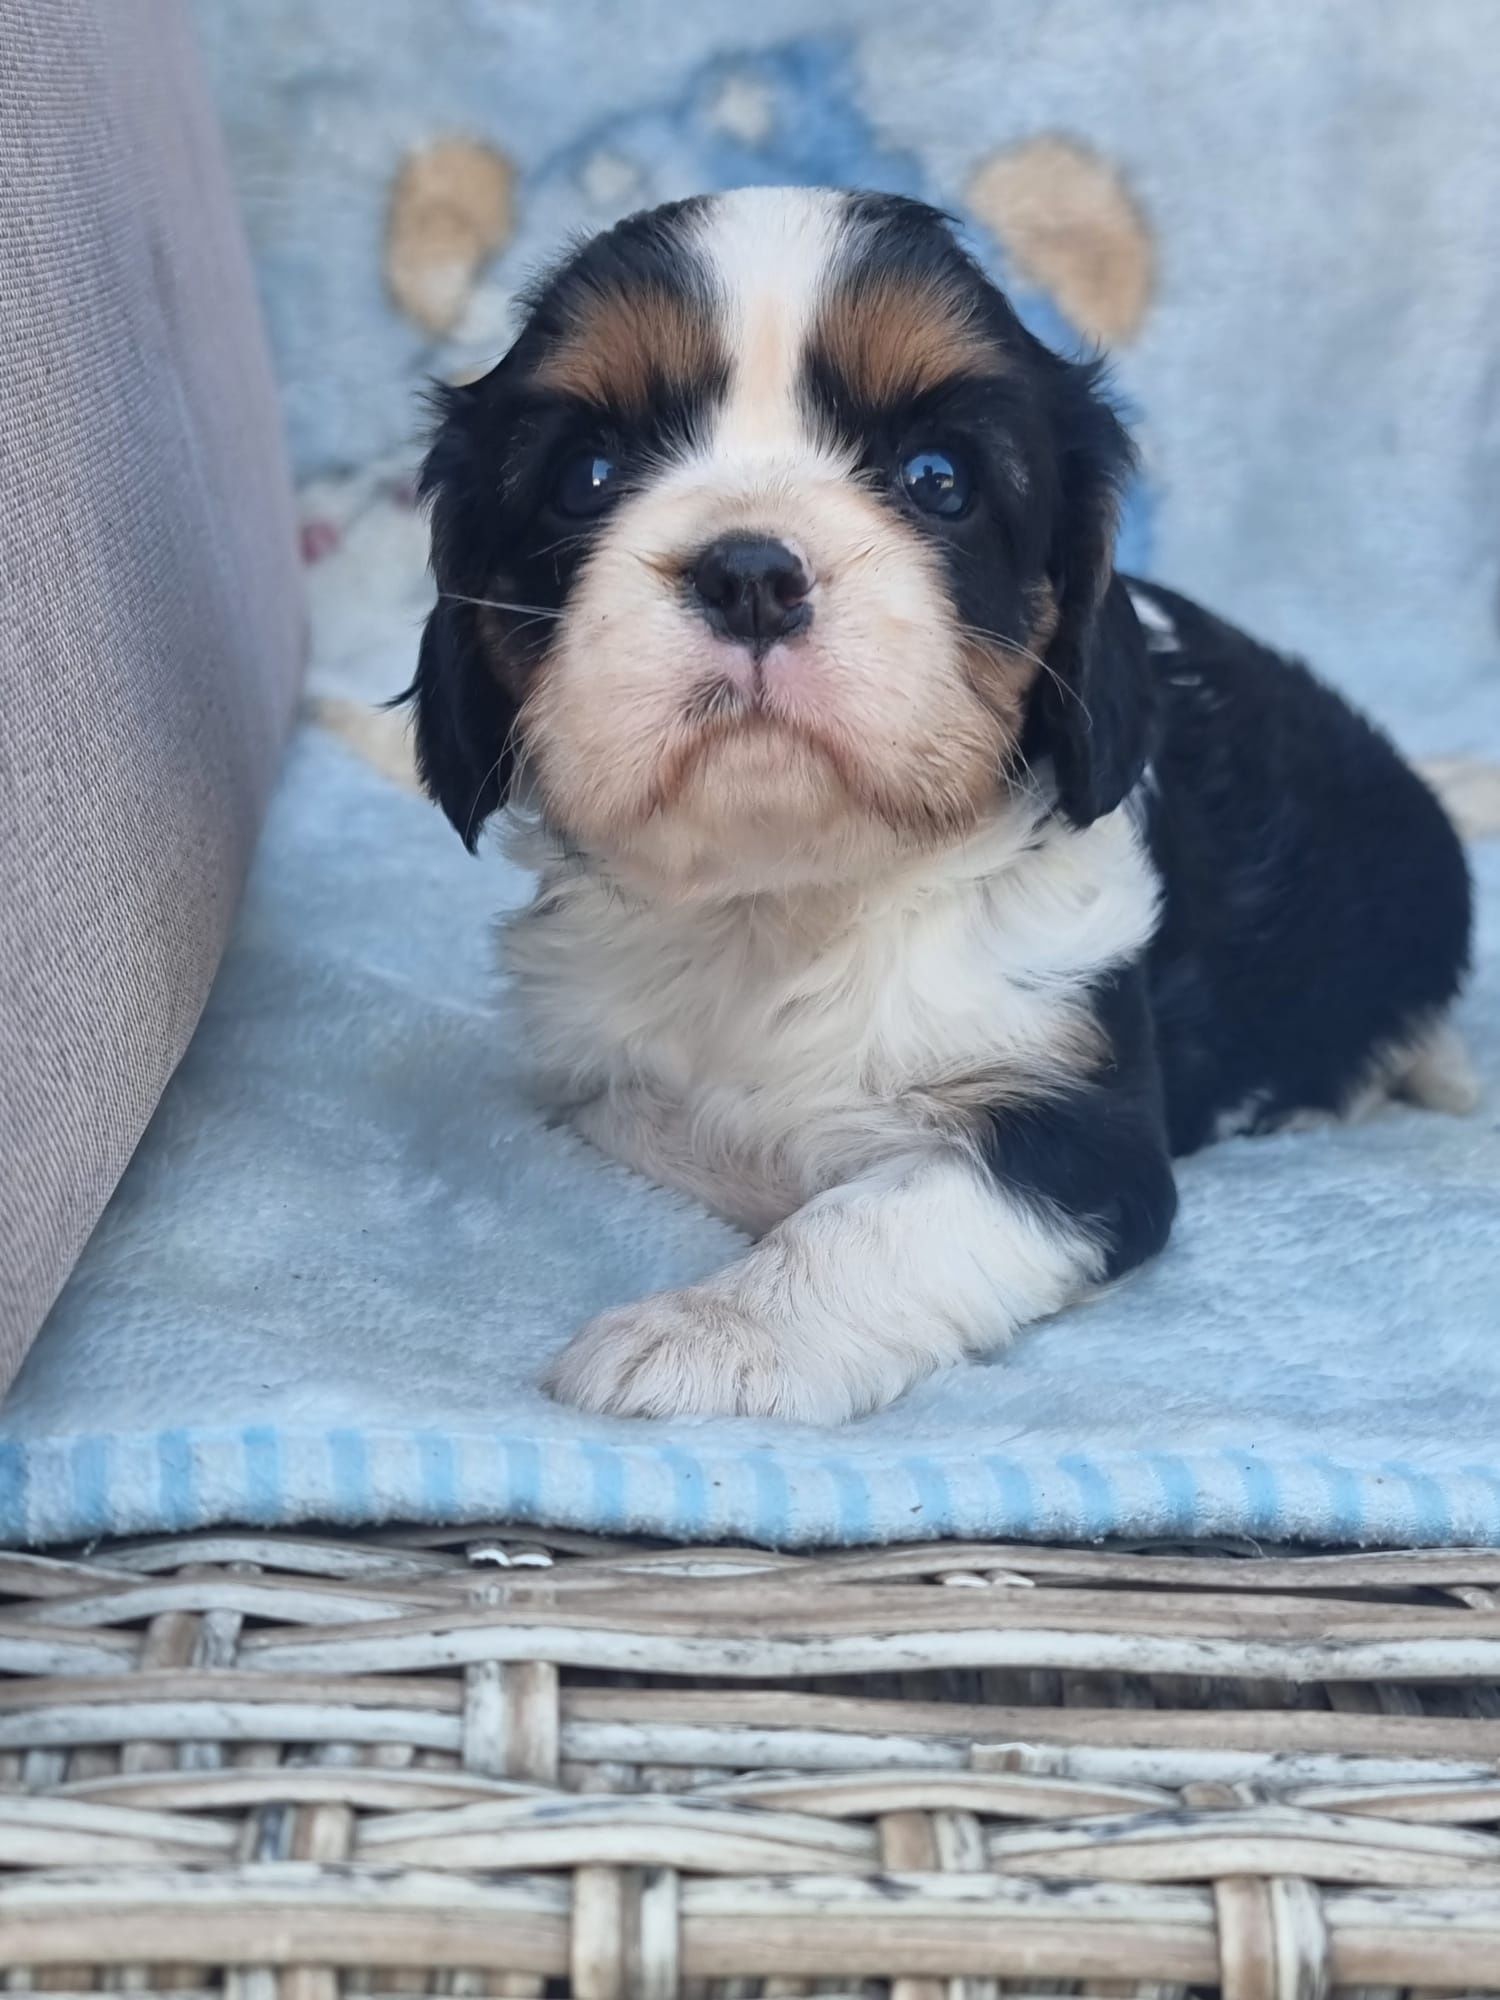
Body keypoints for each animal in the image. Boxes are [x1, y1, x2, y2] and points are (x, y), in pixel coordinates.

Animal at [402, 188, 1480, 1424]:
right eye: (585, 475)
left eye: (938, 479)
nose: (751, 574)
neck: (783, 901)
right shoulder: (588, 1071)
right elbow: (669, 1124)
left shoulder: (1077, 1128)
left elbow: (878, 1216)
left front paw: (711, 1334)